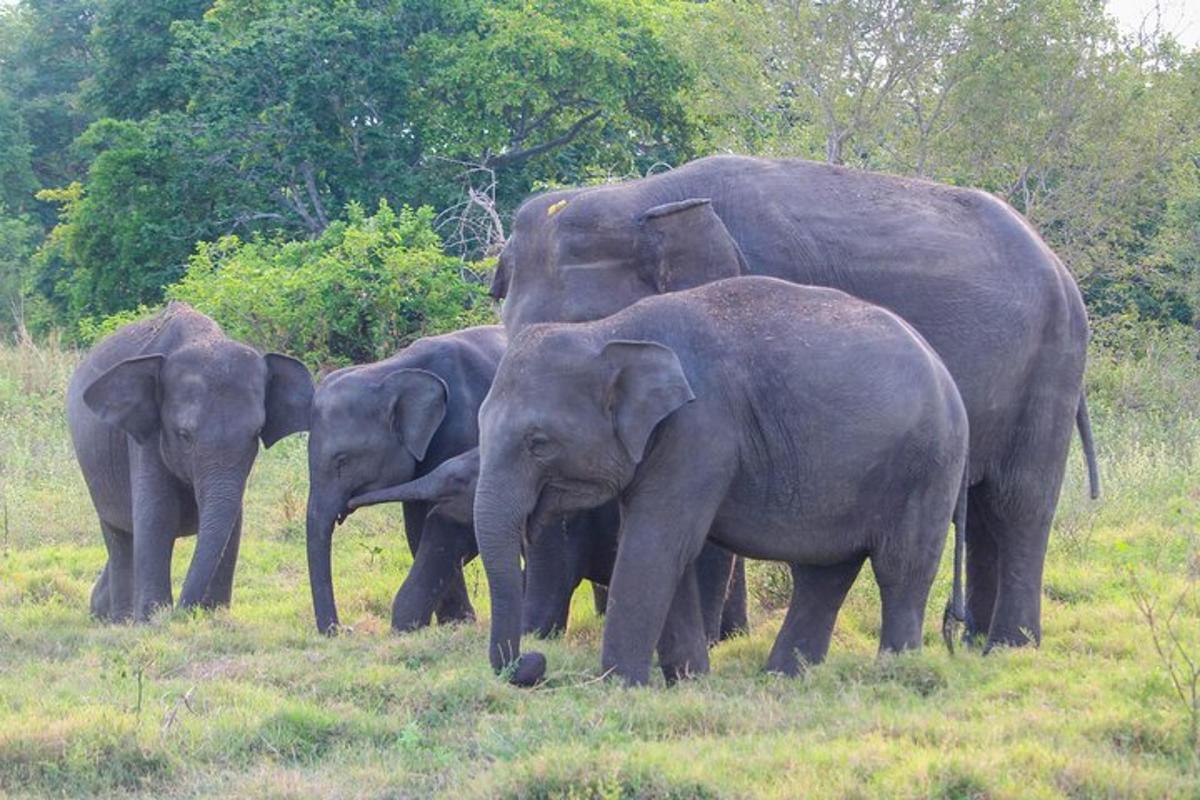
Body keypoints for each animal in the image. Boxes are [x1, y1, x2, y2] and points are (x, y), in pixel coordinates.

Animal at [67, 303, 314, 623]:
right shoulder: (146, 435)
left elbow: (233, 521)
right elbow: (158, 514)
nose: (183, 611)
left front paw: (214, 615)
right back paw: (120, 619)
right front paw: (153, 619)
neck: (202, 338)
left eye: (256, 433)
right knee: (119, 536)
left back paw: (102, 610)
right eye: (184, 435)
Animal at [304, 323, 506, 633]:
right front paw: (452, 624)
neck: (389, 371)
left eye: (342, 460)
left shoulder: (465, 427)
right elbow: (417, 526)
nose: (344, 630)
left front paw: (456, 624)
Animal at [472, 277, 969, 690]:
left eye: (538, 443)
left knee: (900, 569)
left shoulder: (700, 431)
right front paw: (688, 681)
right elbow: (666, 549)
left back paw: (897, 675)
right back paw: (782, 678)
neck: (609, 332)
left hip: (927, 466)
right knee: (825, 573)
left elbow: (655, 544)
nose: (534, 661)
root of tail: (944, 371)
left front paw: (620, 685)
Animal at [487, 154, 1099, 652]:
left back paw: (1010, 646)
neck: (647, 195)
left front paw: (713, 642)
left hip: (1053, 360)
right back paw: (975, 642)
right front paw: (727, 637)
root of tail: (1058, 264)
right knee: (988, 504)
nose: (534, 645)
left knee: (1020, 500)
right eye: (509, 325)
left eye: (589, 325)